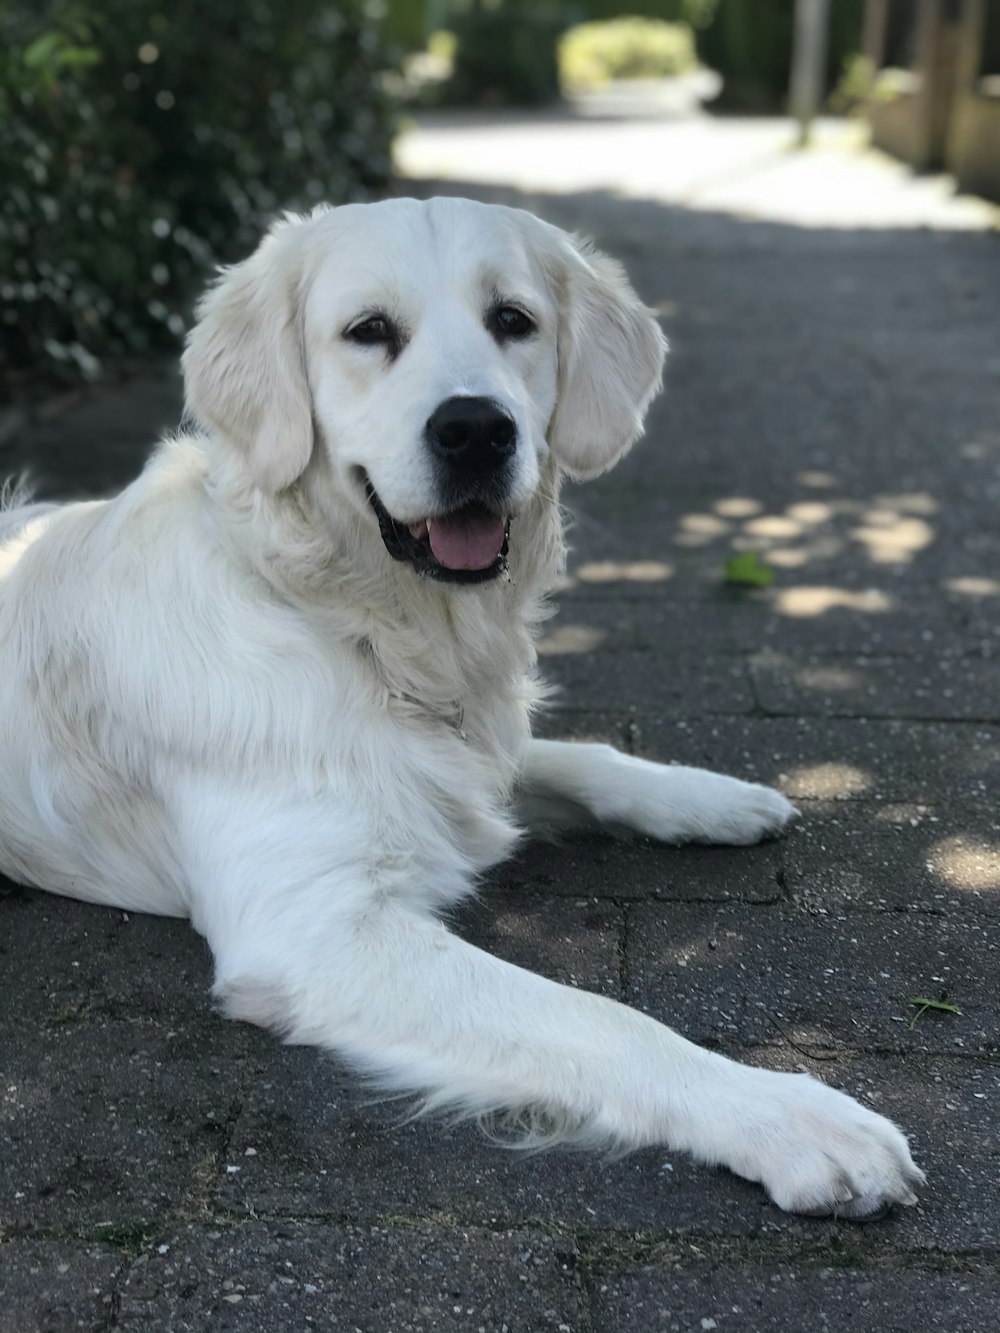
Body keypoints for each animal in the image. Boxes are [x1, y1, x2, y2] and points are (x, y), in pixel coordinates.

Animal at [0, 194, 922, 1221]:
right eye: (369, 330)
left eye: (513, 320)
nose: (477, 430)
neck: (357, 627)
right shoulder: (314, 929)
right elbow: (602, 1018)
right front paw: (792, 1115)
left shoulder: (476, 758)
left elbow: (581, 757)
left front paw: (711, 797)